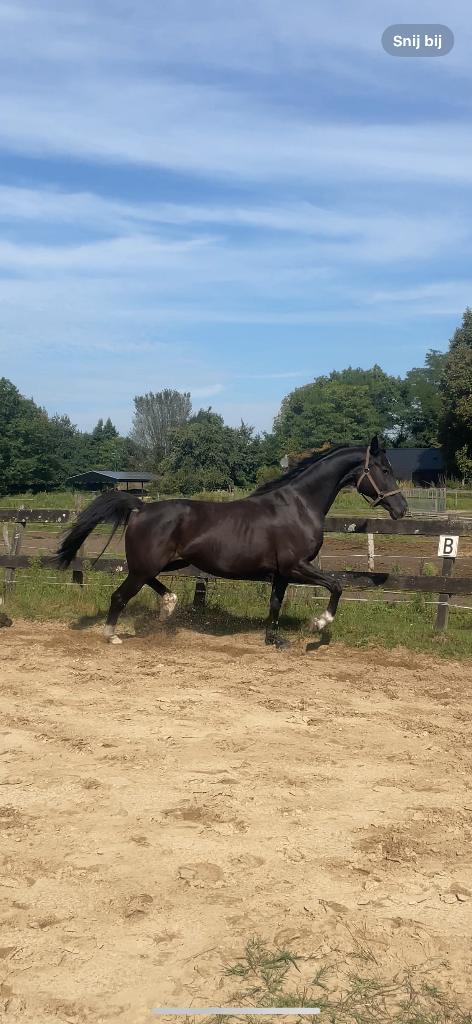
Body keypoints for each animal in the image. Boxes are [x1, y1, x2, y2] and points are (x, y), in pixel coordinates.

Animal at [56, 436, 407, 648]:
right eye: (384, 469)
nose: (402, 508)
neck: (298, 505)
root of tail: (140, 507)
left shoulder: (282, 573)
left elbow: (275, 603)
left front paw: (273, 640)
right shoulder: (297, 566)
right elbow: (336, 586)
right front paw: (318, 624)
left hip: (168, 562)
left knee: (149, 584)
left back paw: (169, 605)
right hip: (146, 565)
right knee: (119, 596)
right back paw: (112, 635)